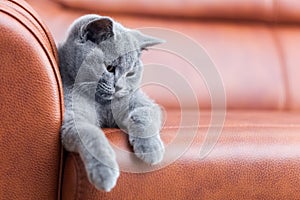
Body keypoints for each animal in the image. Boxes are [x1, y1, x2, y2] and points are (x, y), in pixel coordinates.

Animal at [57, 14, 165, 192]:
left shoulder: (142, 102)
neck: (101, 104)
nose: (119, 87)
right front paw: (104, 172)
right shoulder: (73, 116)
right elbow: (92, 135)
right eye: (110, 68)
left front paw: (151, 150)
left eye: (131, 73)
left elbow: (143, 115)